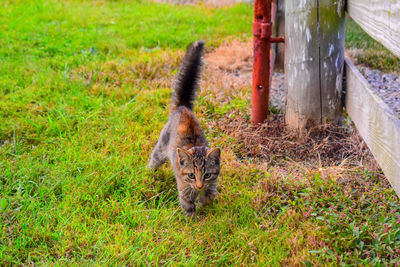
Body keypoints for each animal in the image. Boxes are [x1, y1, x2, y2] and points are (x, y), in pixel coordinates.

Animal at [148, 40, 220, 219]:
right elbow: (188, 207)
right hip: (161, 147)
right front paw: (192, 220)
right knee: (154, 158)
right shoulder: (184, 189)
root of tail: (183, 107)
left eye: (207, 175)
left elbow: (209, 196)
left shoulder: (213, 184)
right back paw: (149, 172)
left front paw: (203, 202)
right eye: (191, 175)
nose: (199, 185)